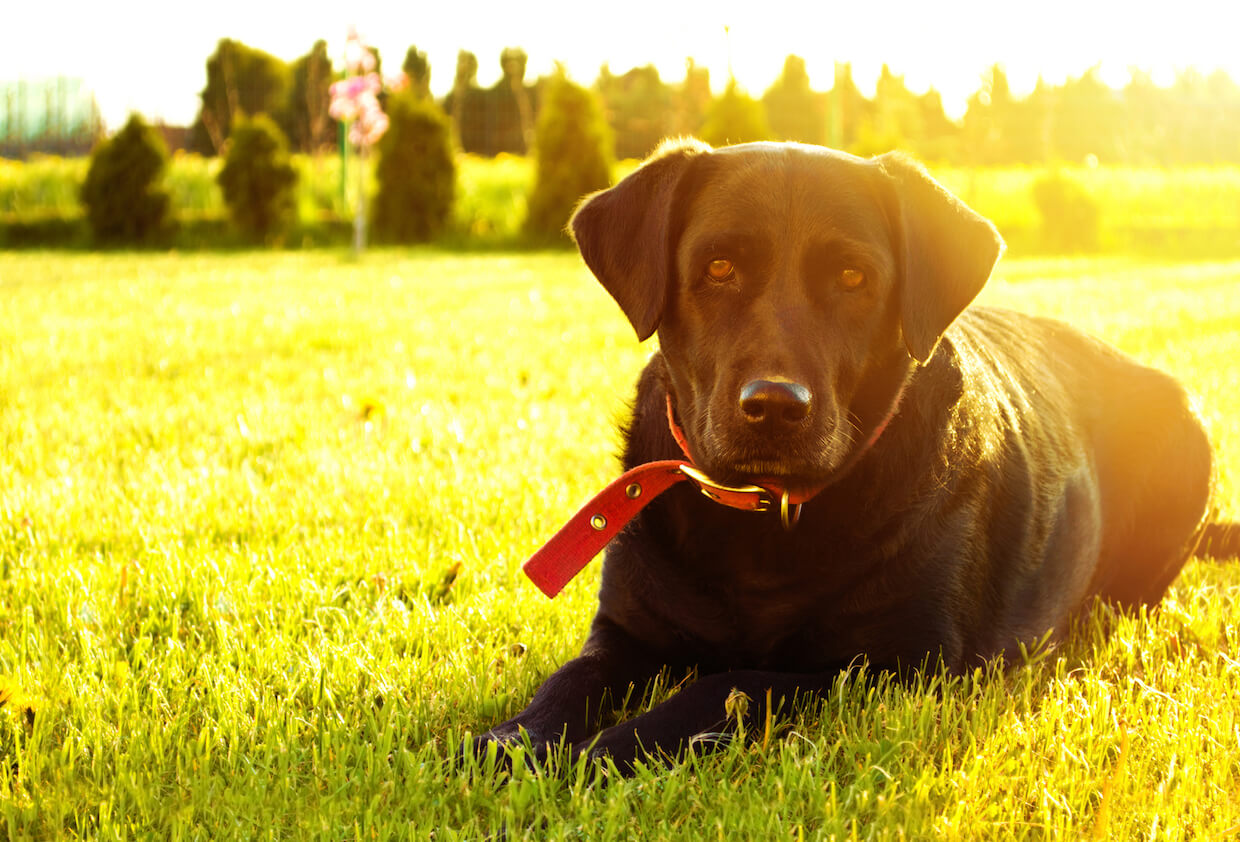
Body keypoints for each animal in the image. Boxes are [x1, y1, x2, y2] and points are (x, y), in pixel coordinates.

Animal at [478, 141, 1215, 773]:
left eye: (853, 276)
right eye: (718, 267)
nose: (775, 407)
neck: (762, 525)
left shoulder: (890, 666)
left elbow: (730, 683)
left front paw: (608, 748)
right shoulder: (626, 631)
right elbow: (569, 680)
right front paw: (511, 741)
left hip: (1189, 436)